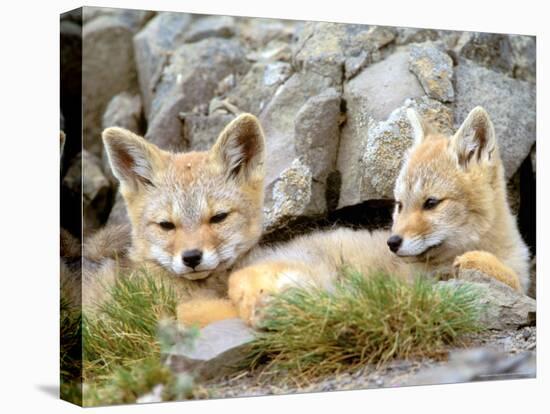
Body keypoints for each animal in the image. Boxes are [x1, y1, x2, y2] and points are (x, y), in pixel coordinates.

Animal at [98, 108, 532, 328]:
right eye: (399, 204)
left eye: (430, 203)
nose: (392, 242)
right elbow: (504, 276)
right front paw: (476, 262)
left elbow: (511, 278)